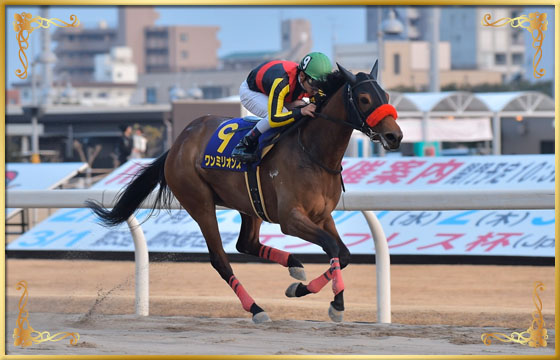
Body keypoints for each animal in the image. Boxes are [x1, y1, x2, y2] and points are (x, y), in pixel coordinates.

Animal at [86, 61, 402, 324]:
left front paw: (302, 289)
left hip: (250, 204)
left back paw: (294, 266)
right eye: (364, 99)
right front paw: (336, 305)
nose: (394, 136)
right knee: (220, 259)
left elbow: (343, 254)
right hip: (199, 202)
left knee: (246, 244)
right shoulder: (291, 219)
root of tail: (178, 143)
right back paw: (256, 308)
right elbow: (333, 248)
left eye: (386, 95)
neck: (313, 152)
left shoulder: (323, 216)